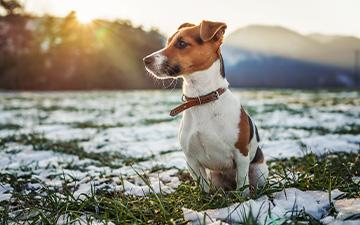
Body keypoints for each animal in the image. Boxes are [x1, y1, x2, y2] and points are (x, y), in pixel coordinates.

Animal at [143, 19, 268, 195]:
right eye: (168, 42)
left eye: (182, 43)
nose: (145, 60)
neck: (201, 98)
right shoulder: (192, 161)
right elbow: (203, 188)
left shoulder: (241, 156)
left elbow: (242, 185)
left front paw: (243, 199)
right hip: (215, 177)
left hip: (258, 171)